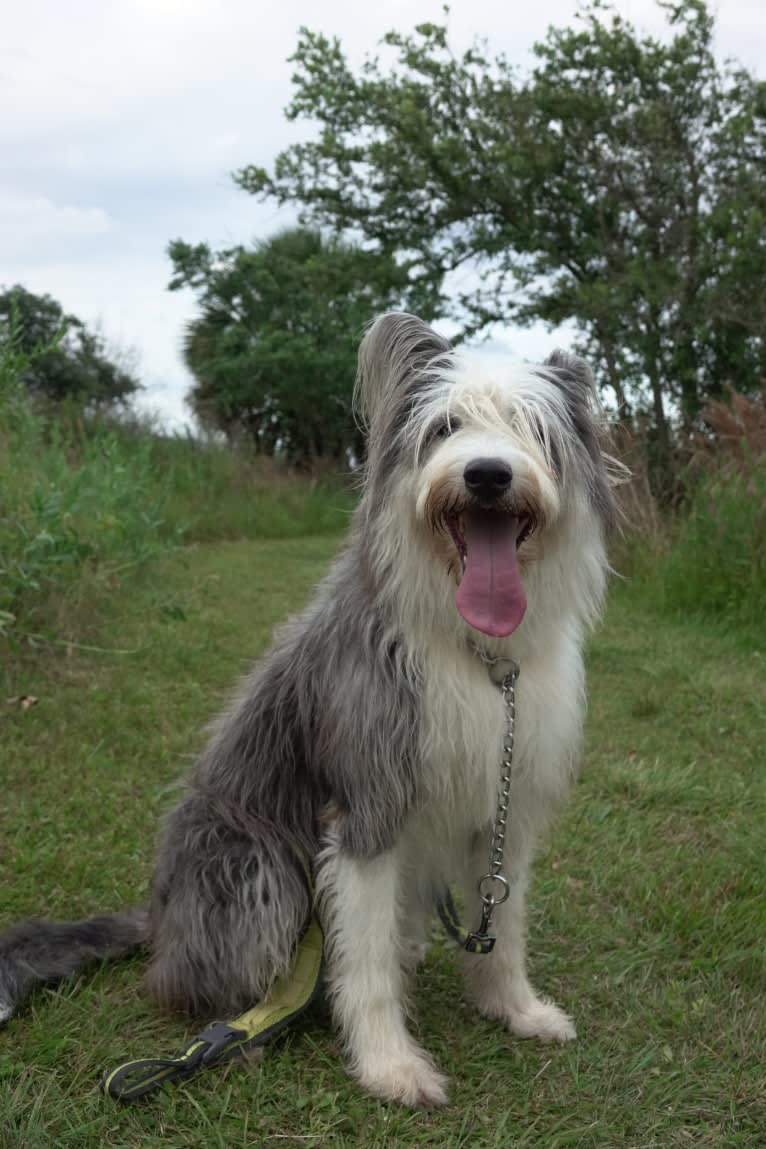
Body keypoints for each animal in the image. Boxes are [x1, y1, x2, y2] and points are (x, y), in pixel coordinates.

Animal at [0, 312, 615, 1103]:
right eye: (445, 427)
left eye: (534, 429)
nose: (487, 474)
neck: (476, 655)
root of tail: (160, 917)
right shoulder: (366, 805)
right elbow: (367, 964)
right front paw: (389, 1064)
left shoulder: (505, 807)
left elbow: (501, 927)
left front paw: (515, 1009)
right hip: (250, 864)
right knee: (183, 979)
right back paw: (236, 1035)